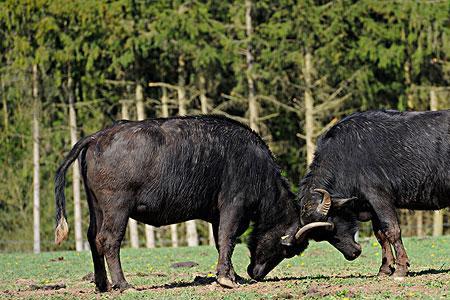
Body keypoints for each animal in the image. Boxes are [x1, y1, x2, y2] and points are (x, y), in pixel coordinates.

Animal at [54, 115, 328, 290]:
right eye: (286, 250)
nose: (256, 273)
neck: (254, 165)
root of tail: (97, 136)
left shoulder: (217, 216)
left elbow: (221, 242)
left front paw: (233, 275)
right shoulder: (233, 207)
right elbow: (228, 239)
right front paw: (226, 279)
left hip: (96, 208)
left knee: (92, 238)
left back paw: (102, 284)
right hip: (117, 209)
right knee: (109, 241)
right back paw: (123, 284)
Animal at [298, 109, 448, 278]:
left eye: (330, 228)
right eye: (321, 236)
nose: (352, 254)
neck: (346, 155)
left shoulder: (379, 198)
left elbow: (392, 230)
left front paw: (401, 268)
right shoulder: (371, 206)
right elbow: (381, 235)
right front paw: (385, 268)